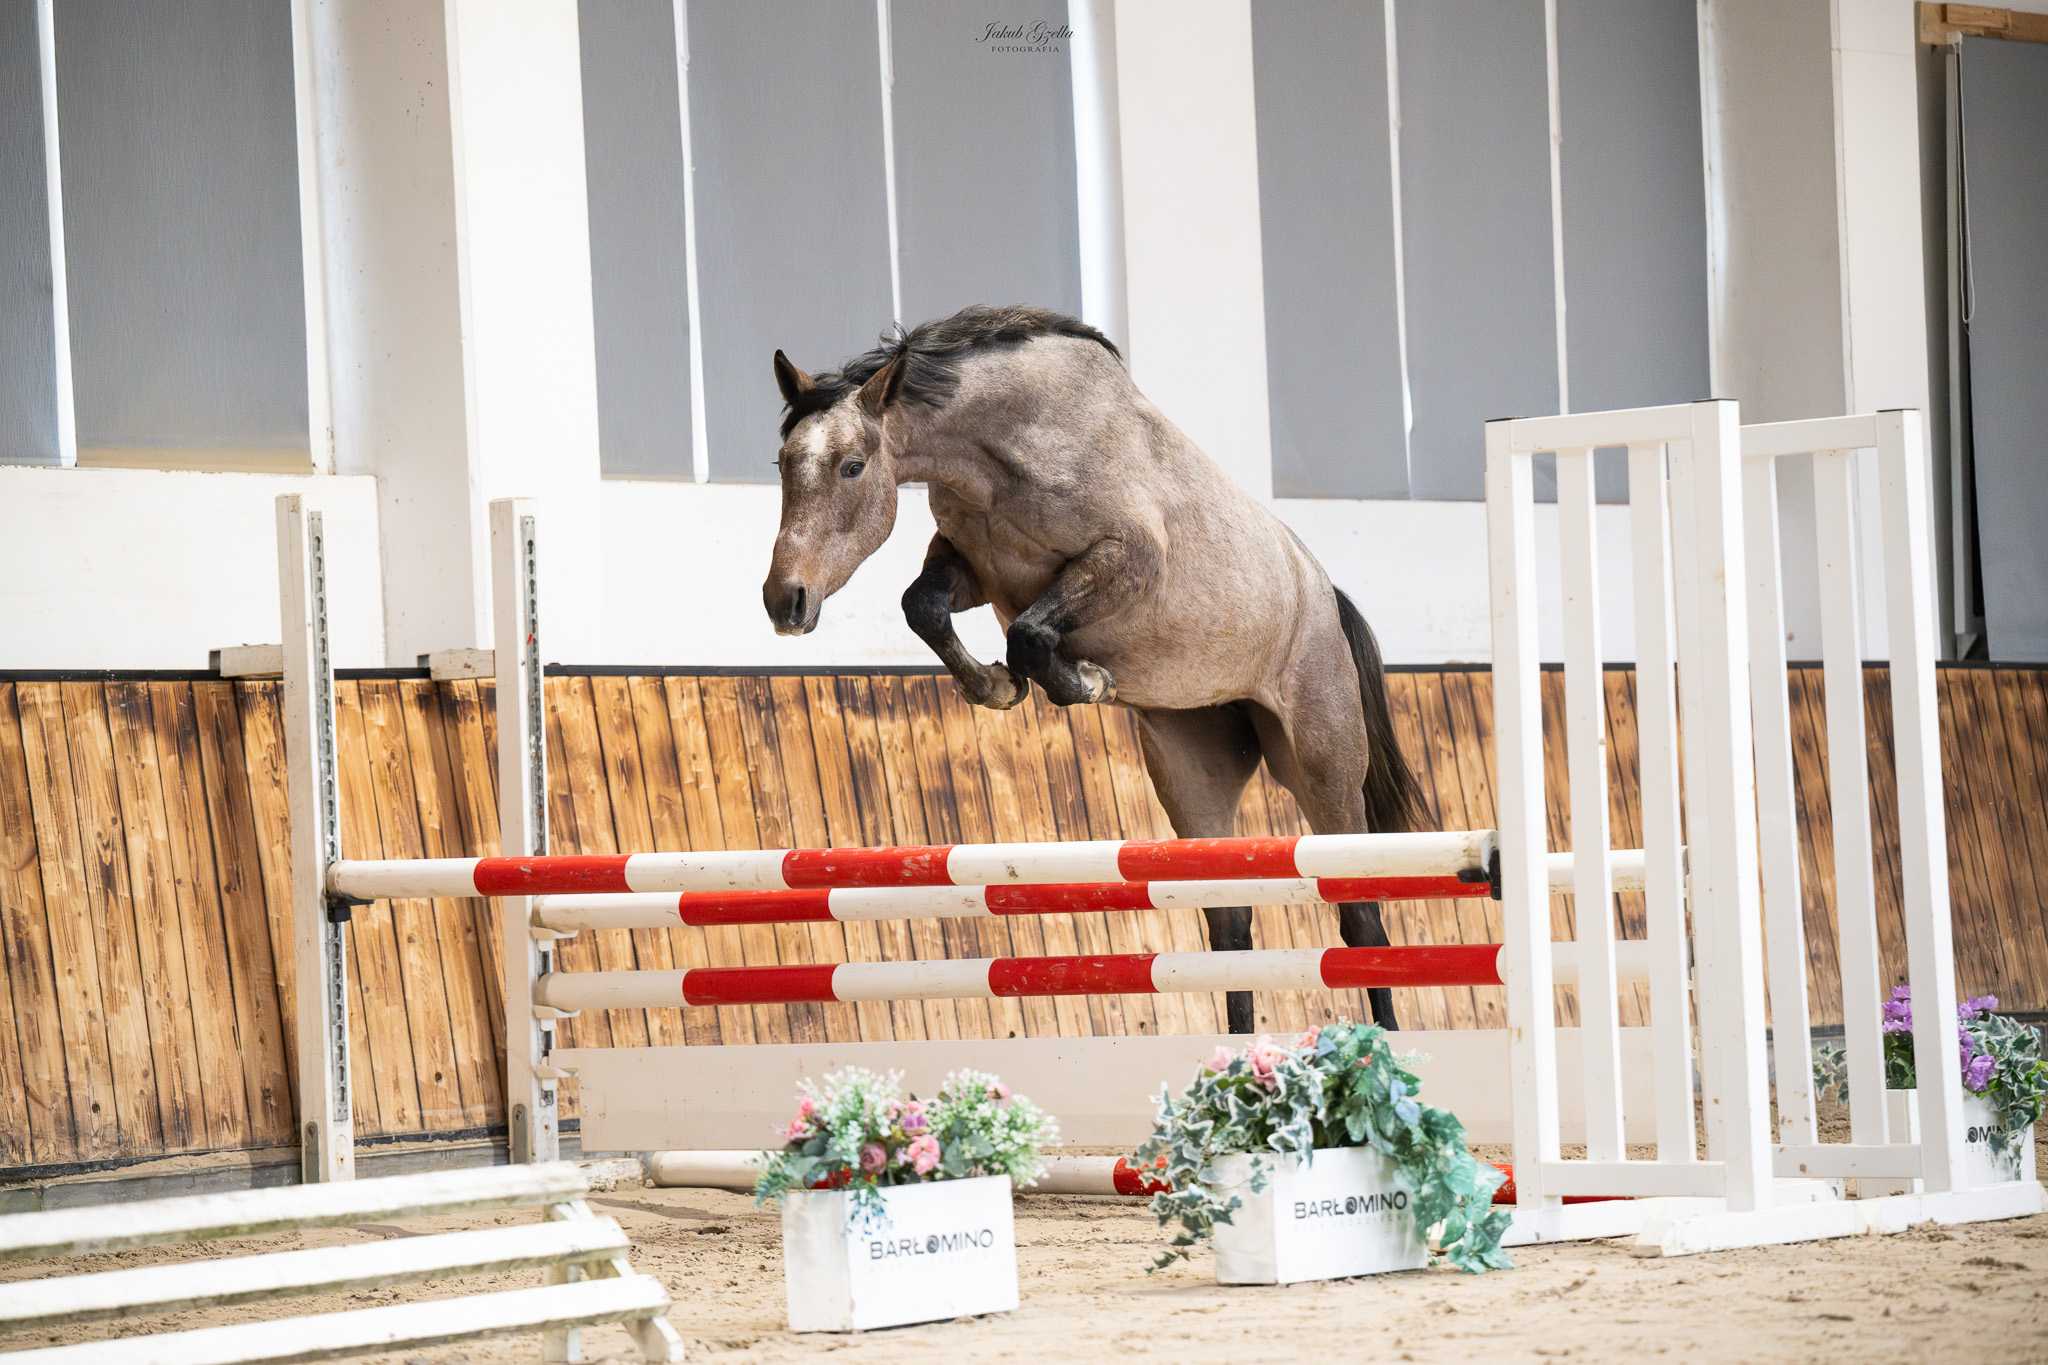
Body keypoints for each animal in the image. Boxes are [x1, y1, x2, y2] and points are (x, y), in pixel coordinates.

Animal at [760, 305, 1423, 1034]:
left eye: (852, 466)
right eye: (782, 463)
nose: (785, 601)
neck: (1011, 447)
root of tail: (1325, 594)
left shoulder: (1126, 560)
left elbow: (1028, 633)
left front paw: (1082, 680)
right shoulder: (976, 568)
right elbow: (924, 606)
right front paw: (997, 686)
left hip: (1322, 764)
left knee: (1360, 919)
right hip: (1194, 770)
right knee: (1229, 925)